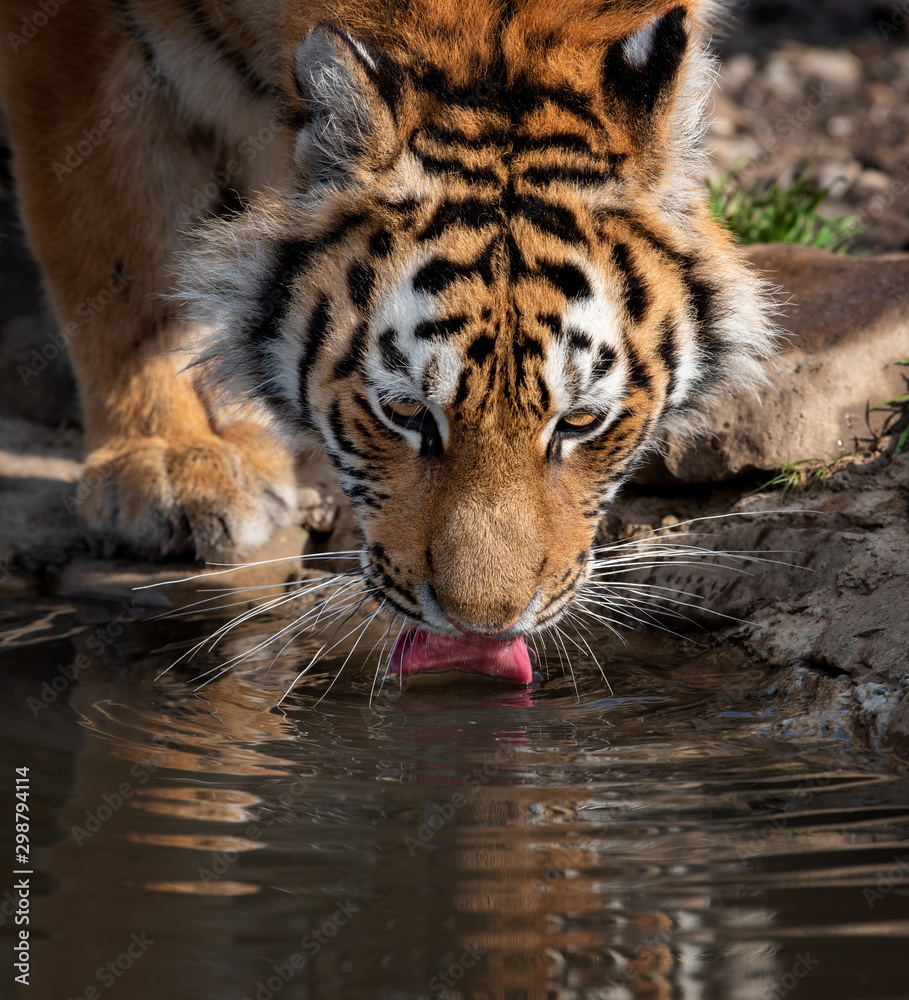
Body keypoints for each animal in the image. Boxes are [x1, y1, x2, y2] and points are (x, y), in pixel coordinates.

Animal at [1, 0, 772, 680]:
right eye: (404, 413)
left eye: (581, 422)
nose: (482, 629)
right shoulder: (83, 42)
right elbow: (123, 256)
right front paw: (170, 463)